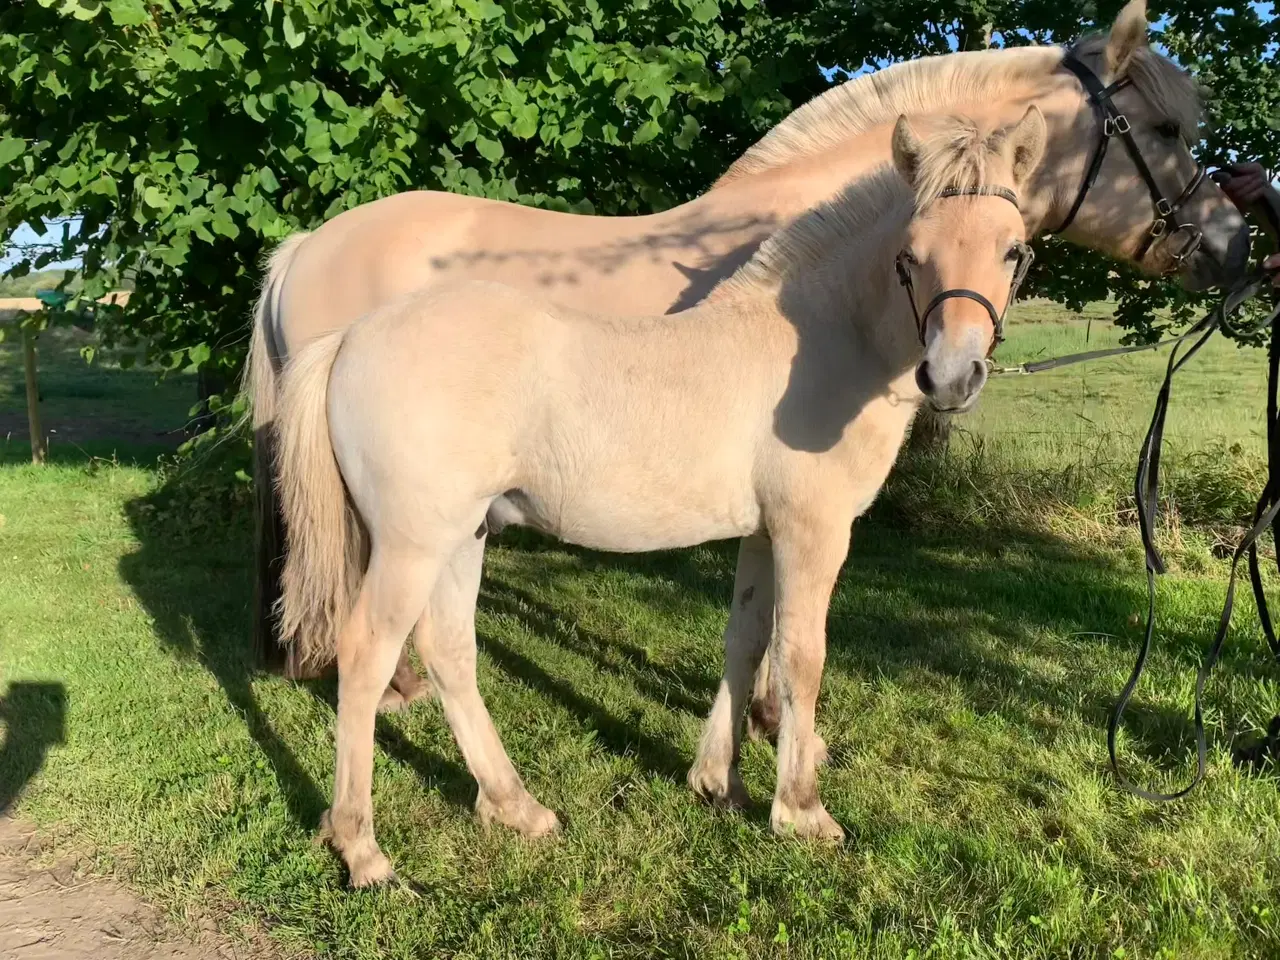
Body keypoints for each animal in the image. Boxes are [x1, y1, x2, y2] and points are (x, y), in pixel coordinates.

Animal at [280, 110, 1059, 885]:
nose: (952, 376)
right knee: (365, 655)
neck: (818, 343)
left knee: (448, 649)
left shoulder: (764, 533)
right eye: (910, 254)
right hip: (412, 544)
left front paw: (719, 782)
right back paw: (362, 849)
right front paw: (802, 811)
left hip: (462, 535)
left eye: (1012, 250)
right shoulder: (813, 532)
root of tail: (348, 339)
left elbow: (746, 640)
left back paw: (515, 807)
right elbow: (802, 656)